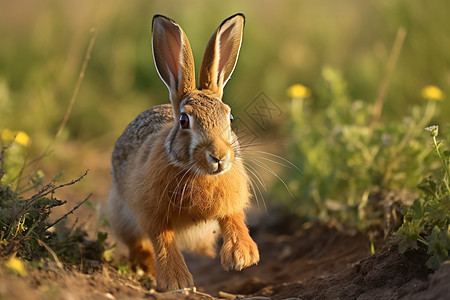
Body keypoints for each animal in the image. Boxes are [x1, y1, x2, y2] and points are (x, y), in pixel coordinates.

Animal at [106, 12, 260, 290]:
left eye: (230, 119)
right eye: (184, 121)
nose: (219, 157)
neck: (198, 172)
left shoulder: (231, 200)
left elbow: (233, 219)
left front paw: (242, 257)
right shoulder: (152, 212)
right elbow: (163, 240)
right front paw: (176, 282)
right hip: (120, 212)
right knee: (138, 244)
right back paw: (146, 269)